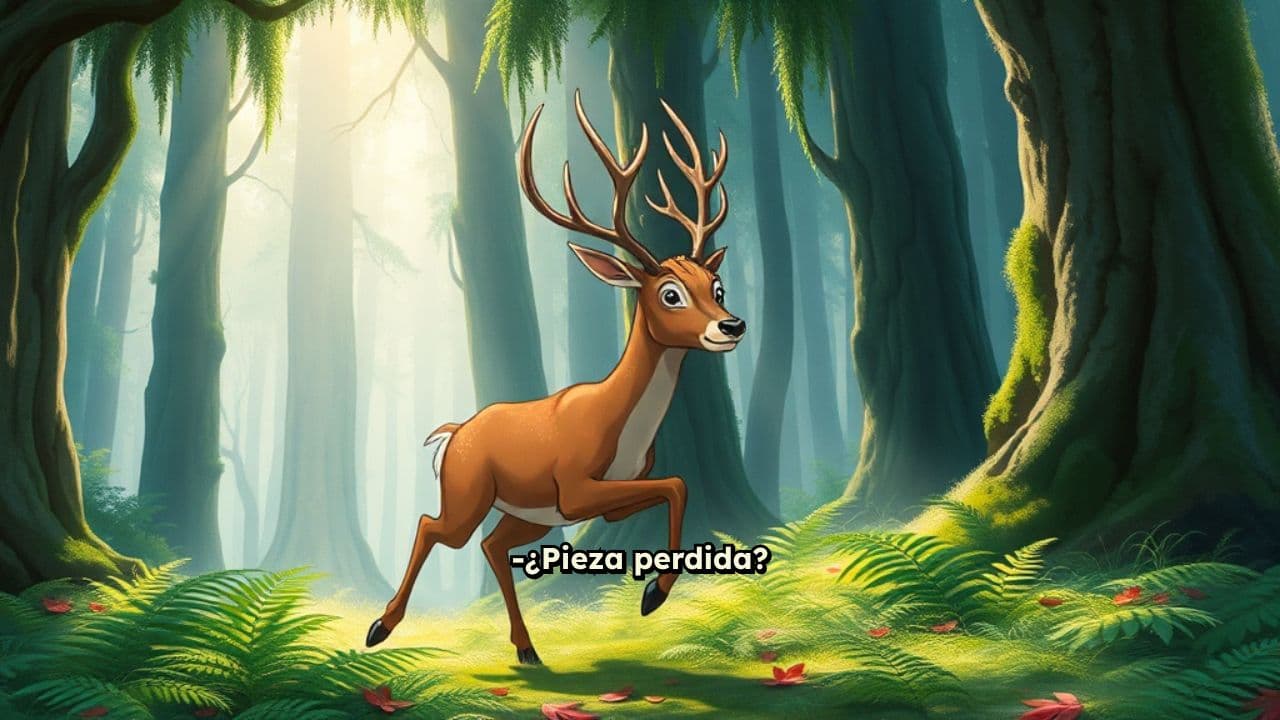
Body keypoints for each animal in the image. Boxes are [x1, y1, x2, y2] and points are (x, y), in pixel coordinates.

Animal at [365, 91, 744, 666]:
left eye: (716, 287)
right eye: (670, 293)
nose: (732, 325)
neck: (622, 424)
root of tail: (454, 434)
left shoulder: (608, 495)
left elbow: (674, 486)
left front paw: (652, 593)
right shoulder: (574, 487)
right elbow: (677, 483)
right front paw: (654, 594)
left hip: (530, 512)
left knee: (492, 545)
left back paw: (527, 648)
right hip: (468, 491)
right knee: (434, 527)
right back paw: (380, 626)